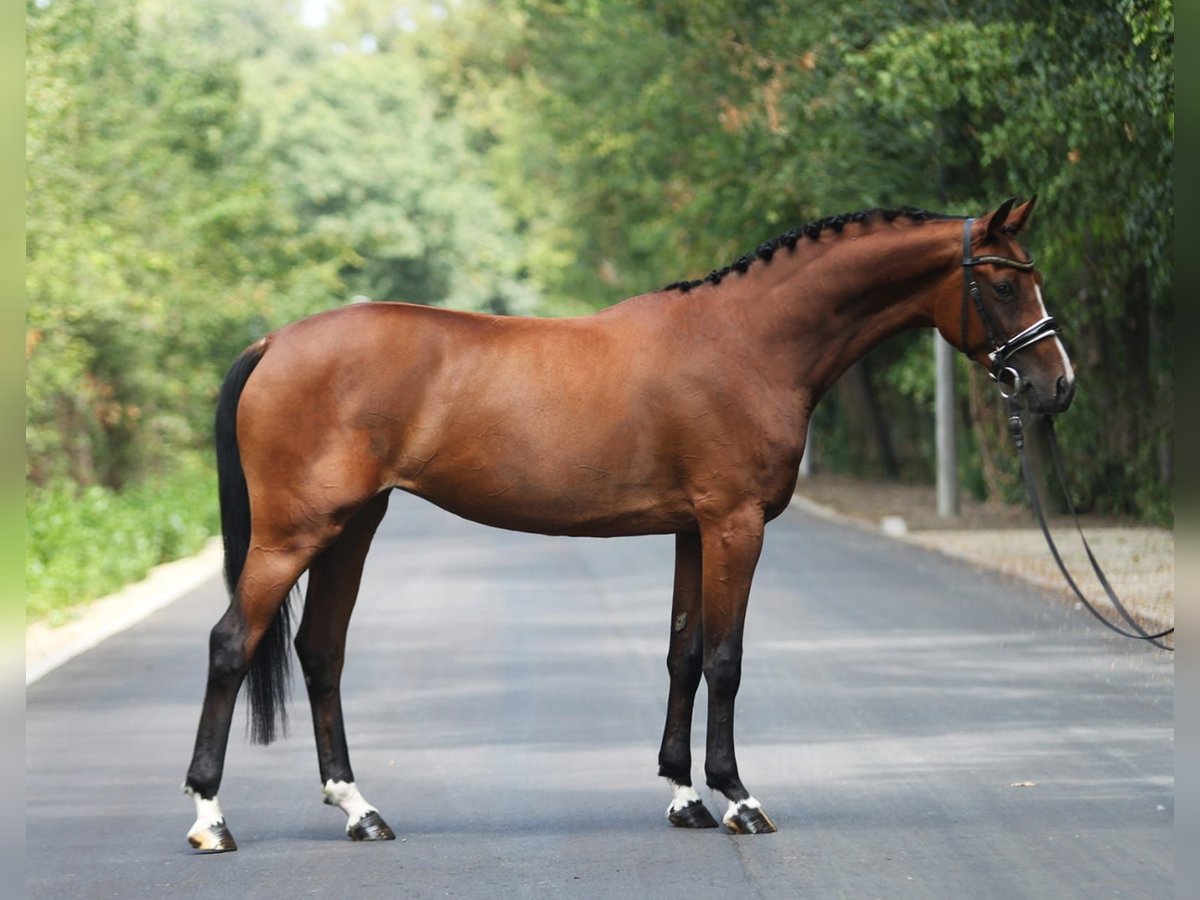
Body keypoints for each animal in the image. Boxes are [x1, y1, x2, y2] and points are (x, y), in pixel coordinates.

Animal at [182, 196, 1075, 854]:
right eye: (1004, 285)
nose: (1056, 386)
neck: (749, 343)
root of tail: (274, 341)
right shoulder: (735, 525)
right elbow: (726, 660)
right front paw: (738, 799)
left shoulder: (693, 530)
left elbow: (684, 654)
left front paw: (684, 796)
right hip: (295, 535)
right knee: (230, 644)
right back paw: (210, 819)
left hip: (352, 529)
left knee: (320, 652)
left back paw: (359, 810)